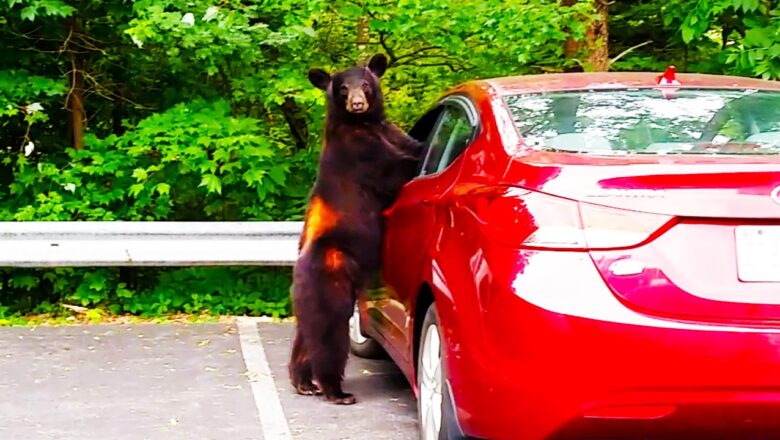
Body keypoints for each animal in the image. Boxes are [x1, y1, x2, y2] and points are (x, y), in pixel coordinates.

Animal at [288, 53, 423, 405]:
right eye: (342, 88)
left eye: (365, 83)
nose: (358, 103)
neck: (361, 125)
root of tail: (298, 276)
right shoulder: (360, 154)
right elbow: (397, 169)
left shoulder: (389, 132)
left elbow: (410, 143)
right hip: (332, 283)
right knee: (329, 338)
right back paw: (335, 390)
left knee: (305, 338)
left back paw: (303, 382)